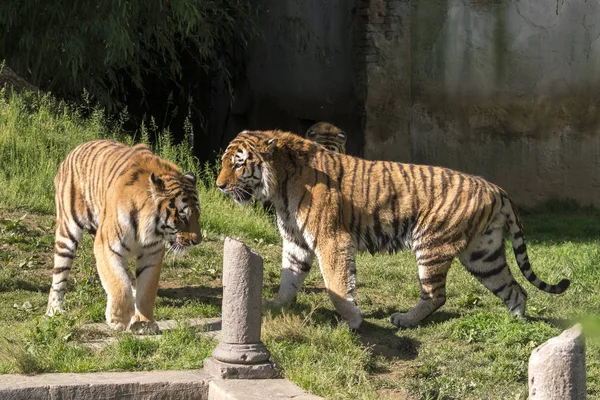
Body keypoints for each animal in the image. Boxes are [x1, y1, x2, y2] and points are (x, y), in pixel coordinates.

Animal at [47, 139, 202, 332]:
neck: (150, 229)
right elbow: (117, 283)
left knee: (128, 276)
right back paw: (54, 309)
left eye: (198, 215)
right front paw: (119, 319)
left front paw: (144, 323)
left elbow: (146, 291)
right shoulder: (106, 246)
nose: (197, 241)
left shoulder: (152, 254)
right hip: (67, 231)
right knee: (59, 275)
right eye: (183, 217)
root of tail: (74, 150)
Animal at [217, 130, 572, 330]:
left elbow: (336, 284)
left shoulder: (332, 239)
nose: (219, 186)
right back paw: (516, 321)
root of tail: (497, 189)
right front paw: (275, 306)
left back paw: (404, 320)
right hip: (483, 255)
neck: (280, 185)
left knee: (437, 295)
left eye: (238, 163)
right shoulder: (296, 241)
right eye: (223, 162)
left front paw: (353, 320)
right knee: (515, 288)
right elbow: (289, 278)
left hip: (432, 244)